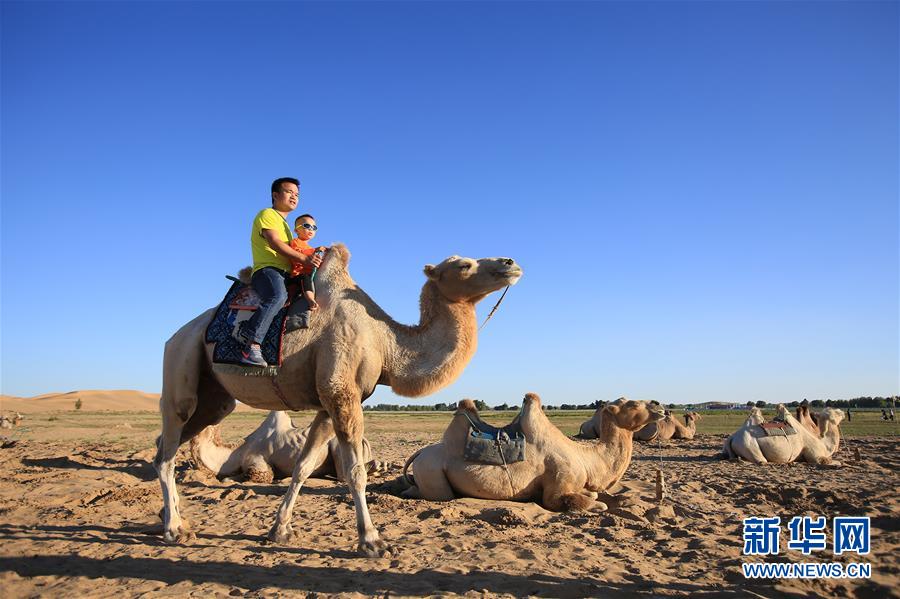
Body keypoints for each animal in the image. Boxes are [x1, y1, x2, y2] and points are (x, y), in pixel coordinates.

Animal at [192, 410, 382, 486]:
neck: (237, 452)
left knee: (342, 475)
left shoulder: (259, 464)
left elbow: (256, 475)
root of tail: (364, 440)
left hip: (336, 445)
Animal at [404, 394, 664, 510]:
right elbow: (589, 502)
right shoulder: (557, 486)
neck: (585, 459)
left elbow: (592, 494)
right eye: (632, 403)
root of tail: (419, 453)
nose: (660, 406)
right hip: (431, 471)